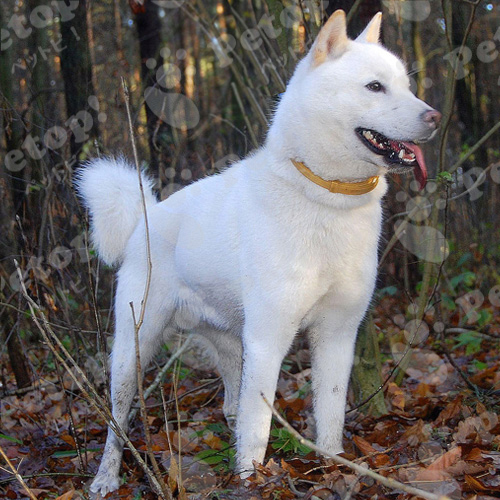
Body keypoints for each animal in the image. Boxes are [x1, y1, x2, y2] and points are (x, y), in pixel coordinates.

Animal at [76, 11, 440, 496]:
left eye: (406, 85)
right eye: (375, 87)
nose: (434, 116)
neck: (325, 199)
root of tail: (145, 217)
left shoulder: (337, 335)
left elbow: (329, 415)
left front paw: (334, 467)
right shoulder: (269, 340)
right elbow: (258, 427)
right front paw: (253, 481)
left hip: (232, 342)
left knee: (233, 403)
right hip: (135, 349)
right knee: (118, 421)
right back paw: (105, 476)